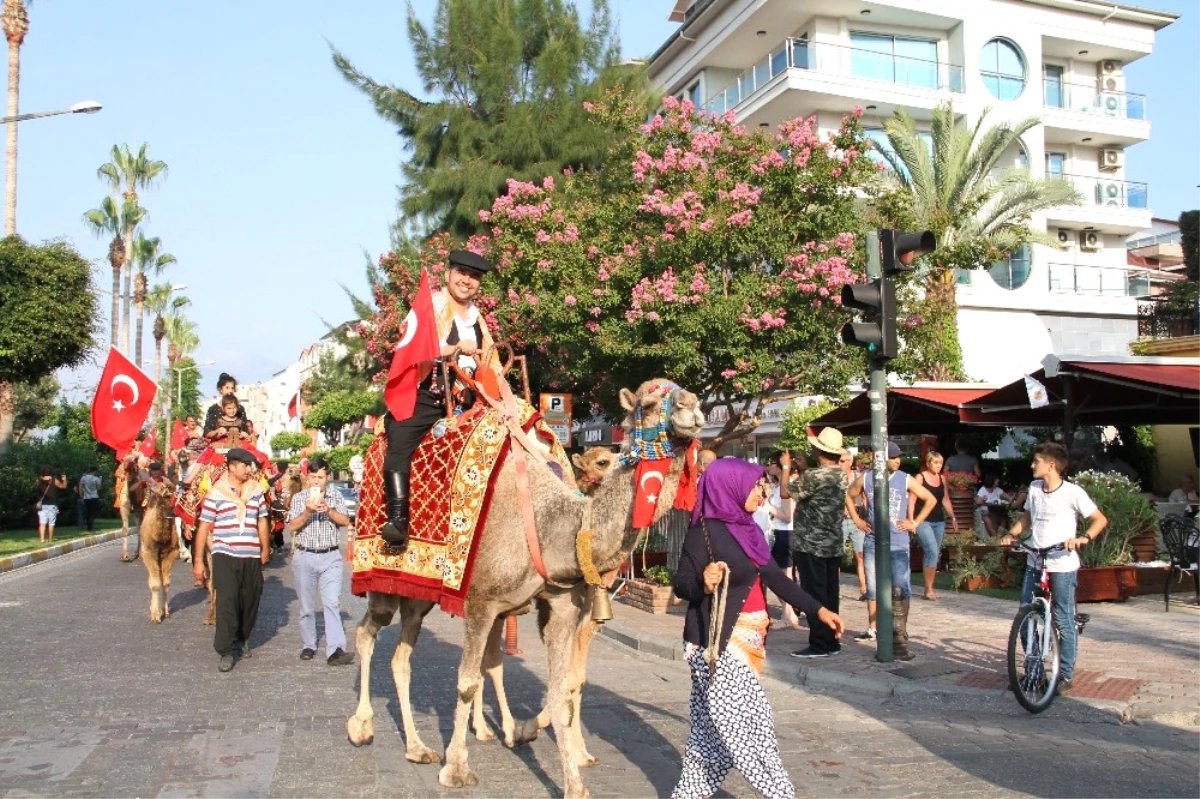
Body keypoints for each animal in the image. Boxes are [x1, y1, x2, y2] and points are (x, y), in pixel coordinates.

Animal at [137, 479, 178, 623]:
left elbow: (166, 582)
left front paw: (165, 612)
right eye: (166, 496)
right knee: (152, 580)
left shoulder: (172, 552)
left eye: (171, 495)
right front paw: (155, 616)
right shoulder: (148, 553)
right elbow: (155, 584)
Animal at [348, 379, 700, 796]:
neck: (552, 525)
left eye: (685, 391)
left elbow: (561, 688)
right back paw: (361, 727)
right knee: (366, 632)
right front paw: (457, 770)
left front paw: (573, 782)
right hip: (382, 579)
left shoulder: (561, 607)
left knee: (401, 658)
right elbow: (468, 682)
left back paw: (418, 748)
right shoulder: (481, 602)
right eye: (647, 403)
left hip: (418, 598)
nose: (692, 408)